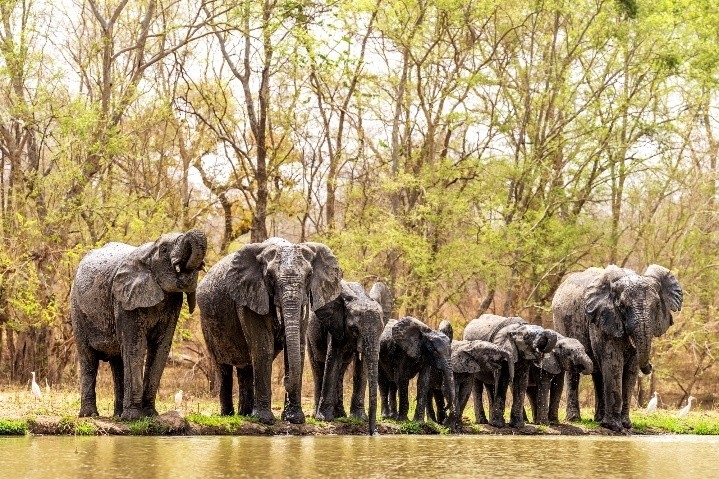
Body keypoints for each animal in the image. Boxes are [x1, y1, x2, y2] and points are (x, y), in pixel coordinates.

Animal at [71, 229, 207, 420]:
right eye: (164, 249)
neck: (148, 253)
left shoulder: (173, 302)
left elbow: (160, 347)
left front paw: (150, 415)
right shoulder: (123, 300)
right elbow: (136, 346)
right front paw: (134, 417)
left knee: (118, 360)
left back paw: (118, 416)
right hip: (77, 310)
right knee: (88, 359)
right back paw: (90, 415)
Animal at [197, 237, 342, 424]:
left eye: (309, 275)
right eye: (270, 277)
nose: (285, 379)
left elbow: (297, 349)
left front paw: (294, 420)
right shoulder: (250, 295)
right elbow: (263, 347)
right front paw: (265, 420)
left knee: (247, 367)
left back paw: (245, 414)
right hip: (207, 324)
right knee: (223, 368)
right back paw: (228, 415)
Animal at [307, 281, 384, 434]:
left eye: (382, 329)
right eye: (354, 329)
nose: (374, 432)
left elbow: (362, 367)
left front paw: (359, 419)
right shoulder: (335, 325)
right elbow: (332, 359)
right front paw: (324, 419)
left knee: (341, 370)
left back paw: (340, 415)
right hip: (308, 333)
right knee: (317, 366)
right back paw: (317, 415)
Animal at [552, 264, 682, 431]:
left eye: (657, 306)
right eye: (622, 306)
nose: (650, 366)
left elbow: (631, 368)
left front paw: (626, 425)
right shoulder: (602, 319)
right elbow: (614, 362)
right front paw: (613, 427)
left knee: (598, 374)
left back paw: (598, 419)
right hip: (562, 322)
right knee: (575, 372)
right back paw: (575, 419)